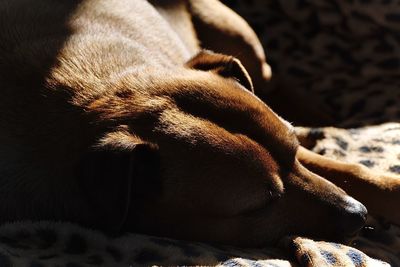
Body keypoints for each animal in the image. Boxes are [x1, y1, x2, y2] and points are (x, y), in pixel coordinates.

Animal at [0, 0, 398, 247]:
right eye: (262, 203)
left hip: (239, 39)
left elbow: (351, 172)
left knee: (271, 76)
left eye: (293, 154)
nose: (358, 215)